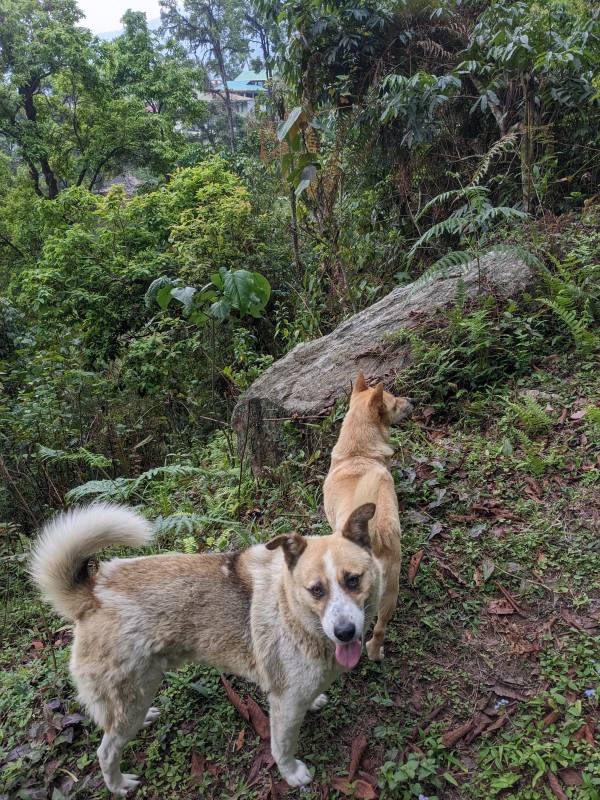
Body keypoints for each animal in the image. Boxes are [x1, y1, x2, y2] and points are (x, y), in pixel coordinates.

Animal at [30, 500, 382, 792]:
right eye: (316, 590)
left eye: (353, 580)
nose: (345, 632)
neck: (291, 608)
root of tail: (93, 594)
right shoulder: (284, 703)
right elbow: (282, 748)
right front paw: (292, 774)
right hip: (129, 699)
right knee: (105, 751)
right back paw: (118, 785)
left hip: (138, 693)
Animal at [324, 376, 412, 664]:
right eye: (395, 402)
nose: (412, 400)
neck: (358, 453)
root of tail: (376, 533)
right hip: (391, 591)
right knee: (381, 628)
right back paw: (375, 653)